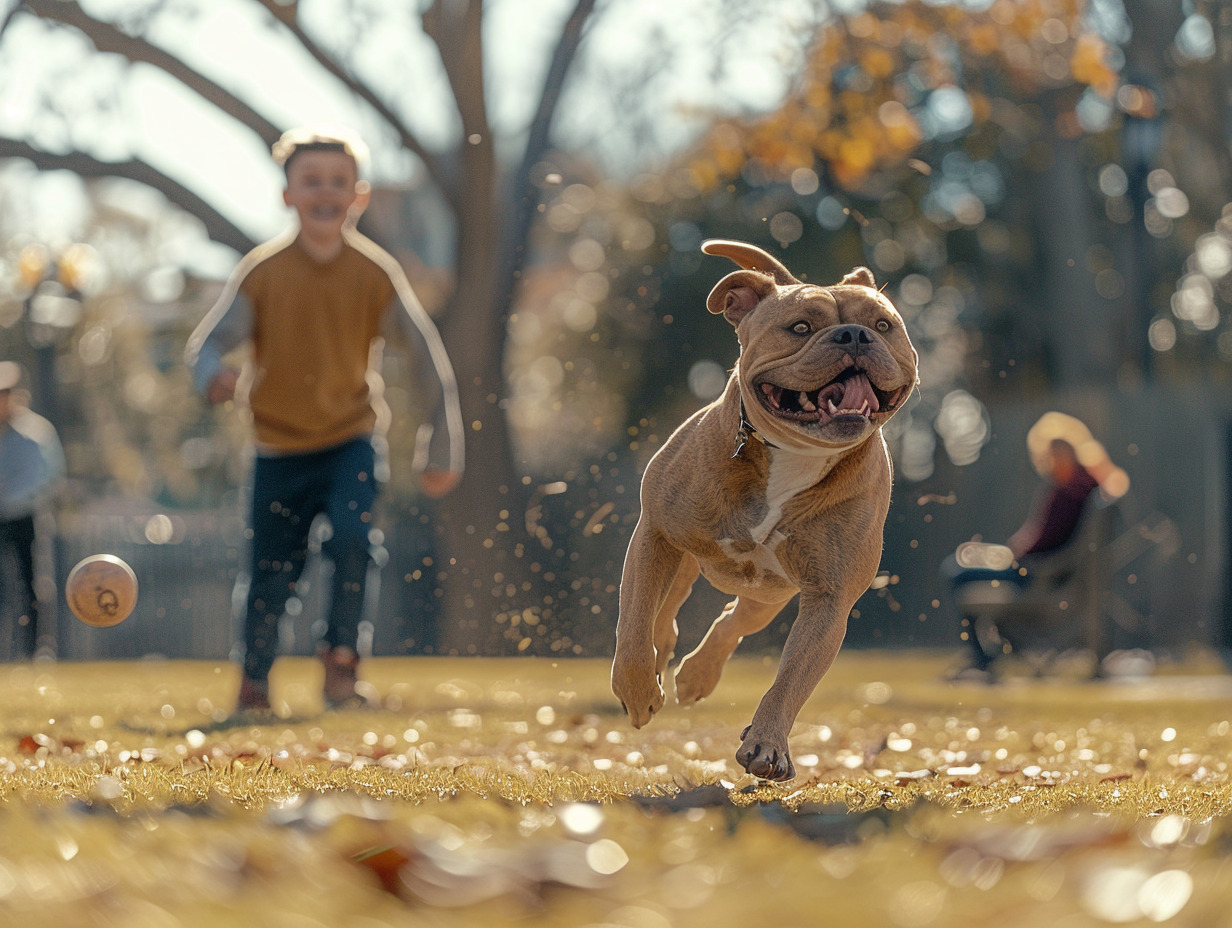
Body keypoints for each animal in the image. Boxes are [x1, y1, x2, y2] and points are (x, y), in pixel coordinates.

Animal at [611, 236, 921, 773]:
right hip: (683, 558)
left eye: (885, 325)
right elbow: (632, 623)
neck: (794, 453)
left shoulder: (829, 600)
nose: (856, 335)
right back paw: (661, 656)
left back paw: (697, 675)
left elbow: (792, 679)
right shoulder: (655, 531)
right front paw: (636, 690)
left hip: (769, 594)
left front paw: (767, 745)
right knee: (661, 611)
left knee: (732, 621)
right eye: (799, 327)